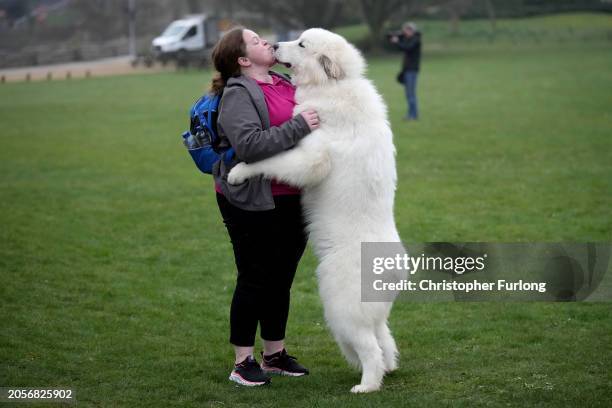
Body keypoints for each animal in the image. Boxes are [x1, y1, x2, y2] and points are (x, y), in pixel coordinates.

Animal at [228, 27, 402, 392]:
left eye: (301, 44)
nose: (273, 44)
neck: (333, 84)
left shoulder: (311, 158)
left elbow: (271, 160)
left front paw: (238, 171)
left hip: (341, 309)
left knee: (369, 349)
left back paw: (366, 385)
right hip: (370, 313)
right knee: (384, 339)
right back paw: (389, 369)